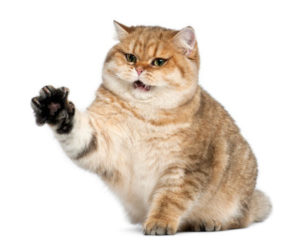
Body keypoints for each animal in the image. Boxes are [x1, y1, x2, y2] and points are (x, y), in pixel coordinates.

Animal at [31, 21, 272, 235]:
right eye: (130, 57)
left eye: (158, 61)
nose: (138, 68)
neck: (143, 114)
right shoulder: (103, 144)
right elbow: (76, 132)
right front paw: (55, 106)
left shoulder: (185, 168)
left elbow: (170, 199)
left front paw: (160, 222)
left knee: (240, 220)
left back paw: (210, 222)